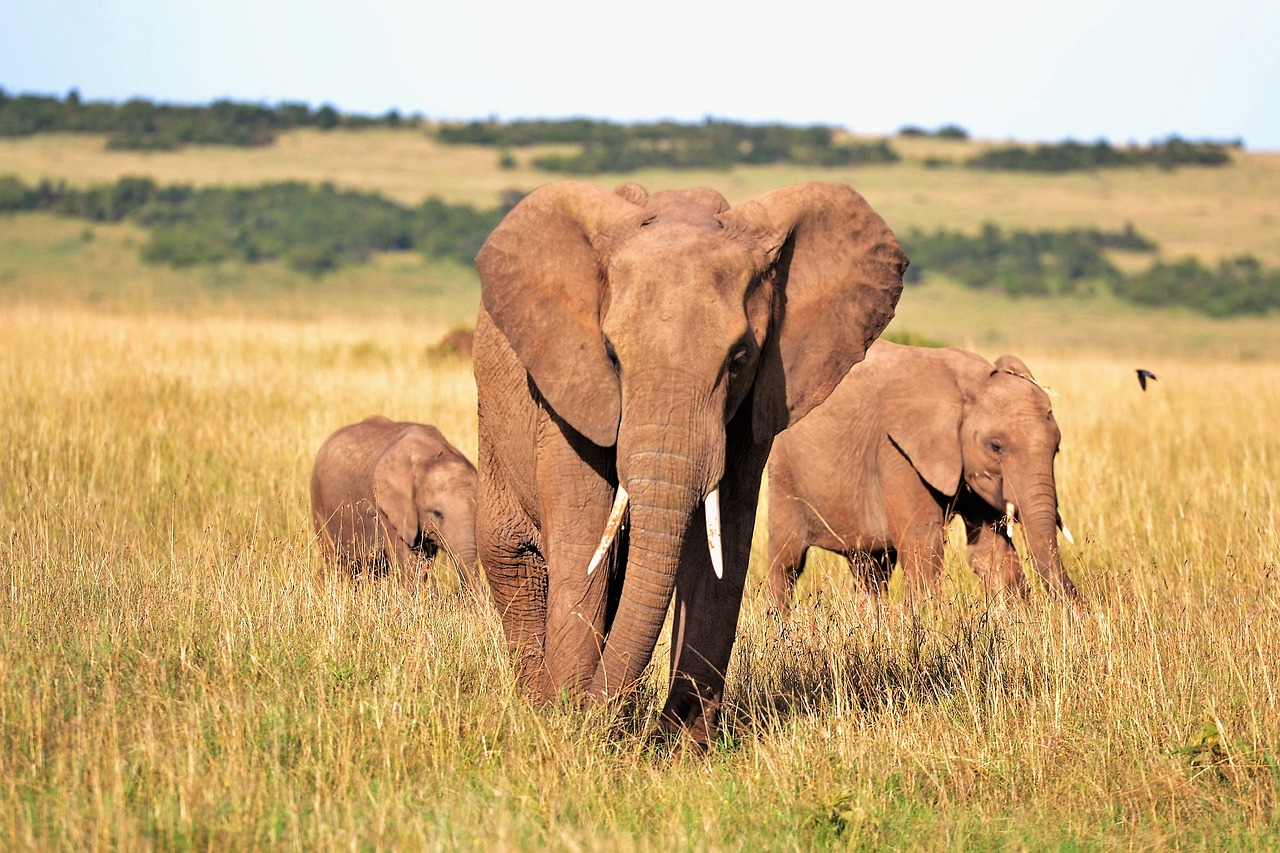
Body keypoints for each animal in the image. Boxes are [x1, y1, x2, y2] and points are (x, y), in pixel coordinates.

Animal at [472, 180, 907, 746]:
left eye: (739, 358)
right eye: (611, 355)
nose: (592, 715)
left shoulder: (753, 406)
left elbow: (722, 550)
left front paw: (681, 746)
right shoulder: (568, 391)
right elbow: (584, 541)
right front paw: (566, 725)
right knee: (514, 558)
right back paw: (536, 706)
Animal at [765, 340, 1080, 613]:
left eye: (1057, 448)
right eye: (996, 446)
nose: (1079, 606)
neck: (970, 383)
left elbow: (991, 553)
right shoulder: (897, 451)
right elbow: (924, 547)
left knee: (871, 567)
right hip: (784, 472)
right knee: (787, 562)